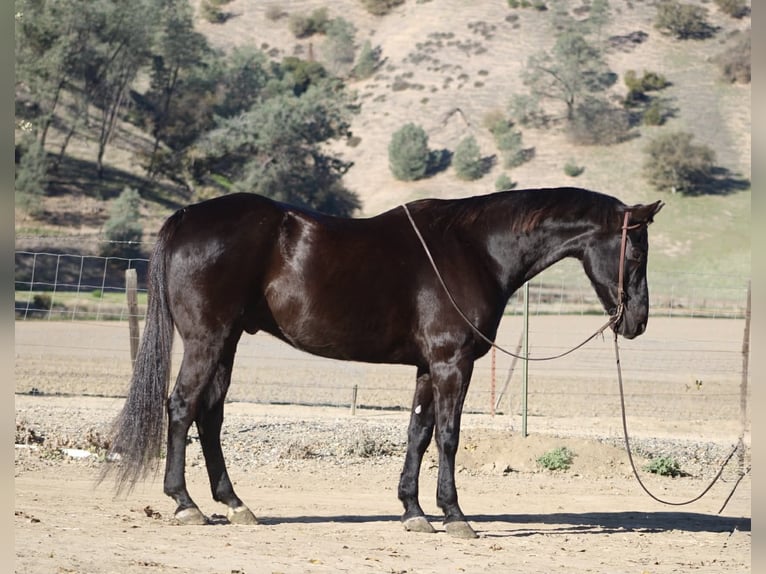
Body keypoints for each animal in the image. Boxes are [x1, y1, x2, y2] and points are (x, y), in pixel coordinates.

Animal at [105, 186, 663, 538]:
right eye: (636, 254)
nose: (637, 322)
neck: (474, 249)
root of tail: (186, 217)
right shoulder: (452, 364)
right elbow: (448, 437)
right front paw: (454, 515)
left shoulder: (428, 367)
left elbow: (417, 433)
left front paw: (413, 511)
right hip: (207, 340)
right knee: (181, 408)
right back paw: (185, 504)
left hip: (227, 343)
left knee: (209, 415)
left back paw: (235, 504)